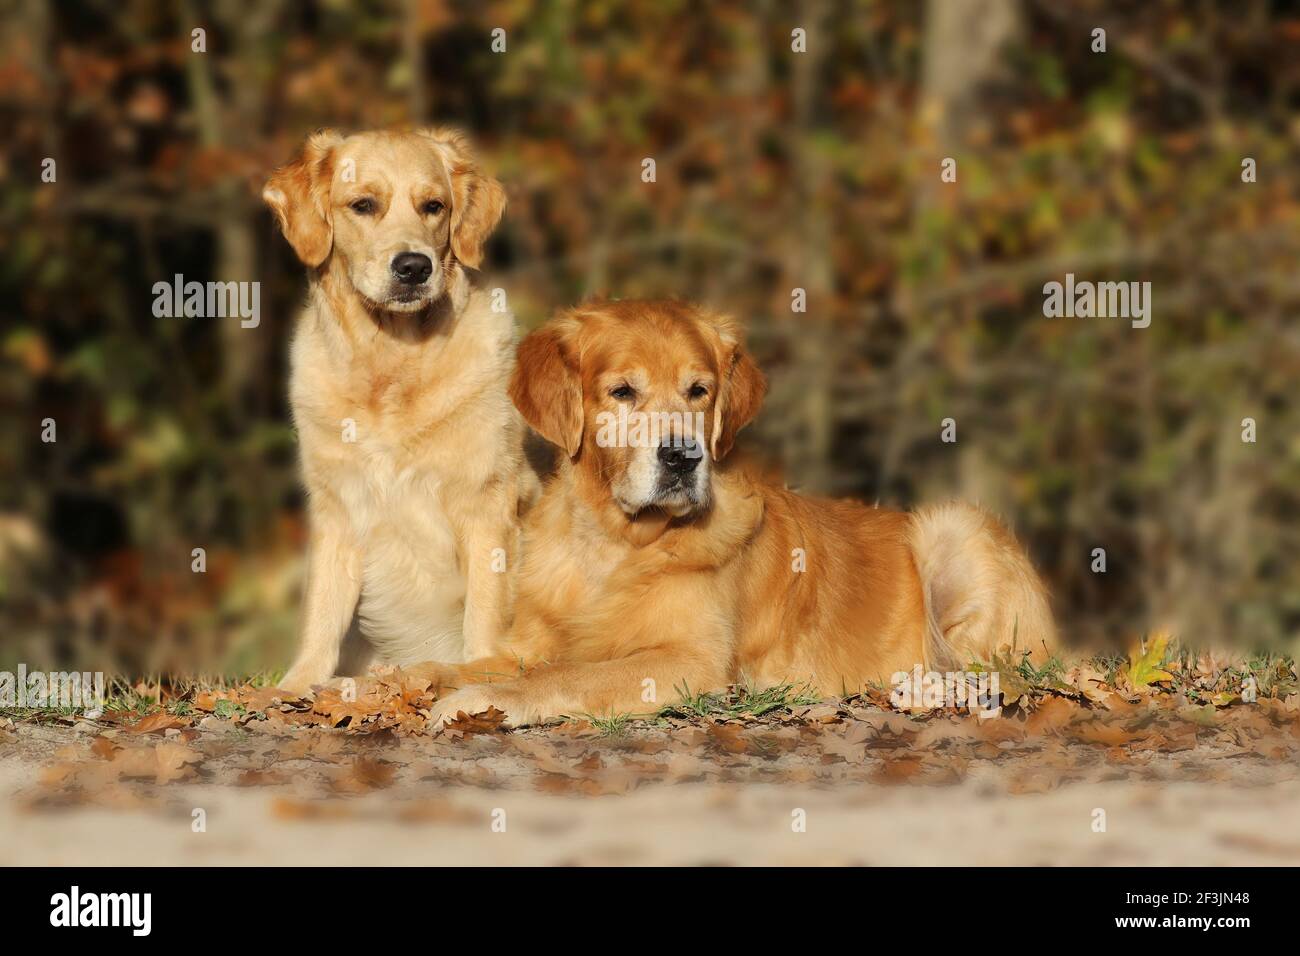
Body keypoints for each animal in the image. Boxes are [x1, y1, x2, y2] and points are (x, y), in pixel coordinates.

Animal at [261, 128, 530, 697]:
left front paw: (481, 673)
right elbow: (321, 611)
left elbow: (486, 612)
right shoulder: (335, 507)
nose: (413, 267)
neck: (391, 362)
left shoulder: (488, 502)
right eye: (363, 204)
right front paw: (298, 684)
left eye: (434, 206)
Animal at [421, 299, 1050, 723]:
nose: (682, 456)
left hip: (954, 527)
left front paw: (479, 700)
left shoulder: (692, 661)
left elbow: (570, 674)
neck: (615, 544)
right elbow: (466, 663)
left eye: (698, 391)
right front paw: (415, 679)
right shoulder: (526, 644)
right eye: (622, 392)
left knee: (994, 672)